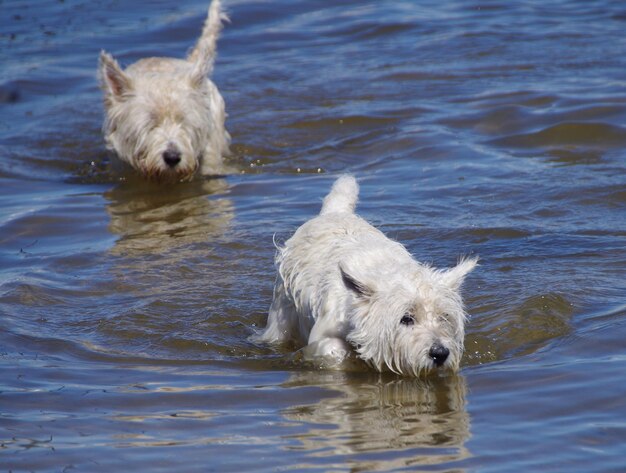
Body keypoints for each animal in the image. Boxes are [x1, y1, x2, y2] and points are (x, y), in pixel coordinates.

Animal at [251, 174, 476, 376]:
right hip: (281, 312)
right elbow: (332, 348)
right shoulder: (323, 332)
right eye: (406, 318)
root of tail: (334, 211)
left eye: (444, 317)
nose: (440, 353)